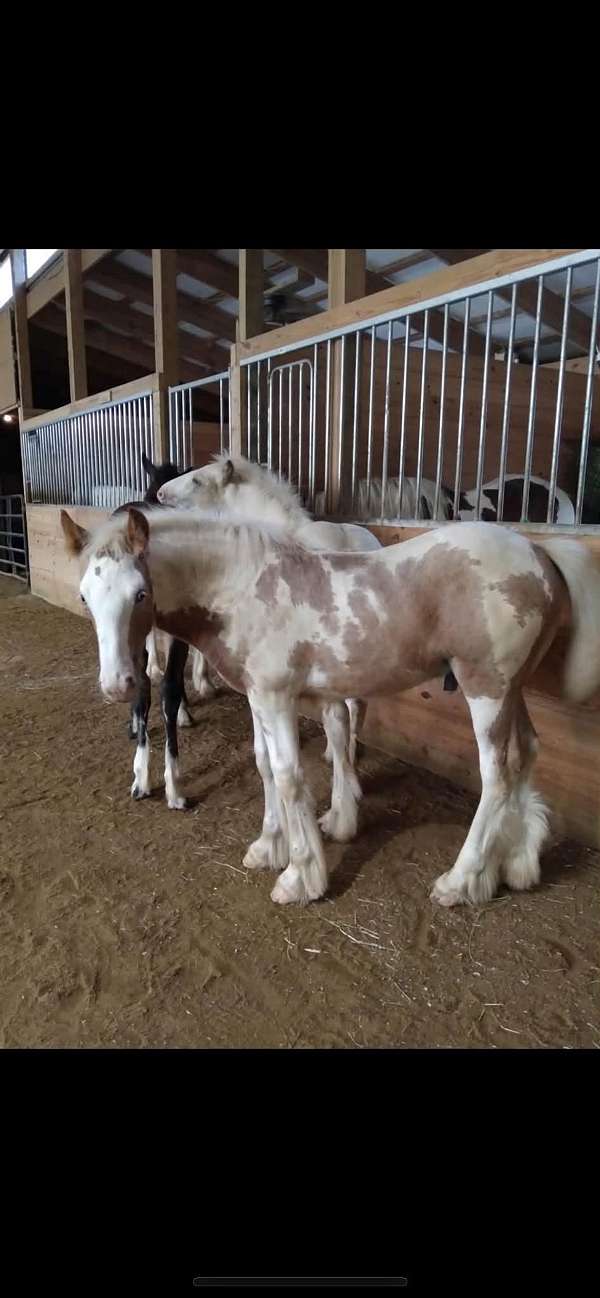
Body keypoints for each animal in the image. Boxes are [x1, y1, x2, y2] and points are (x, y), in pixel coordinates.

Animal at [61, 504, 600, 908]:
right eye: (85, 596)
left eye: (140, 593)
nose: (118, 684)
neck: (242, 587)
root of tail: (538, 550)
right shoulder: (258, 697)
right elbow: (263, 766)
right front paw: (268, 848)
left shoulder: (277, 697)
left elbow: (288, 777)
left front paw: (300, 877)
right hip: (512, 690)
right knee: (527, 753)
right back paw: (518, 864)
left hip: (486, 688)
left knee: (497, 773)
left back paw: (462, 880)